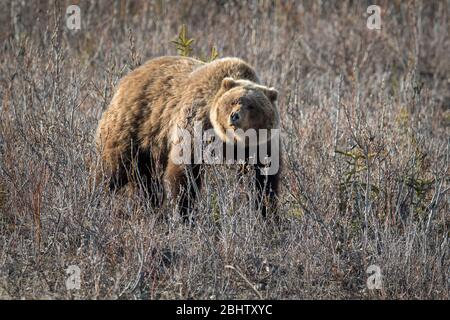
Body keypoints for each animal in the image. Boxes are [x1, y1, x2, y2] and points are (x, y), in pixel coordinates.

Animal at [95, 56, 280, 219]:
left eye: (252, 106)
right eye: (232, 101)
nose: (235, 116)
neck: (230, 142)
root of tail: (128, 78)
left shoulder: (262, 145)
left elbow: (264, 179)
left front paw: (267, 214)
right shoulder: (196, 127)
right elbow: (185, 173)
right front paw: (185, 213)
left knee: (147, 182)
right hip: (133, 129)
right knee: (112, 169)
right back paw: (96, 195)